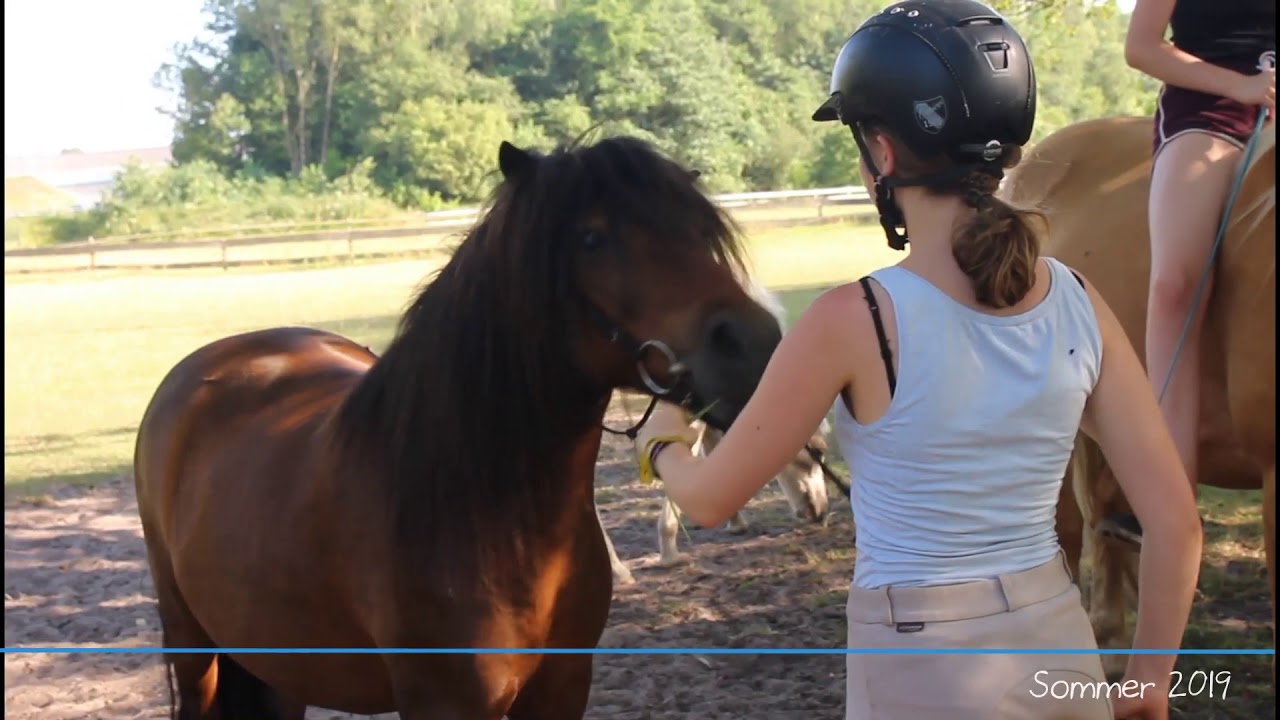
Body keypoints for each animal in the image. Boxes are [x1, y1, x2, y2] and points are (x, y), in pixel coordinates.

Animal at [132, 135, 787, 719]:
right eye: (592, 236)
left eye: (701, 232)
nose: (754, 346)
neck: (480, 509)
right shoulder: (447, 703)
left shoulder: (563, 689)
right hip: (194, 648)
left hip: (277, 666)